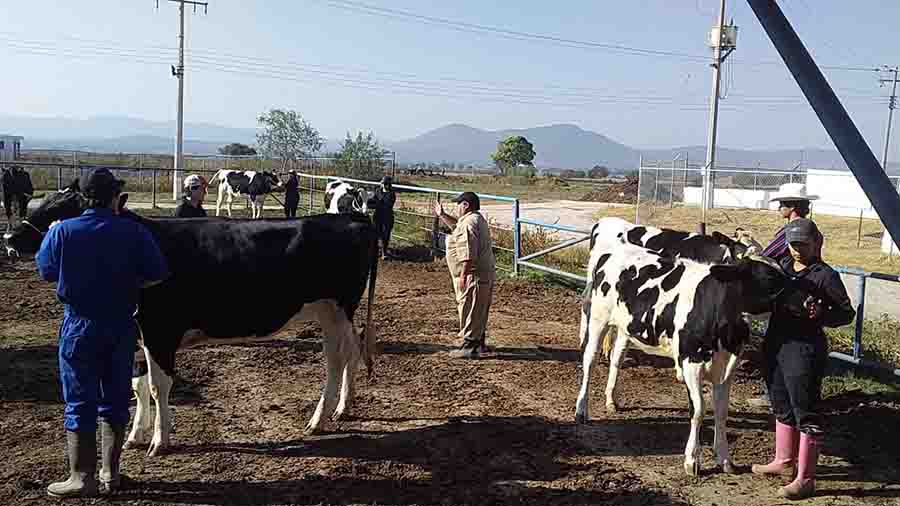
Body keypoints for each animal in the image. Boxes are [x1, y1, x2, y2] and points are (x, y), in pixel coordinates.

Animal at [3, 183, 378, 458]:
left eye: (59, 213)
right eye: (42, 203)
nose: (9, 239)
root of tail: (352, 219)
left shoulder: (160, 331)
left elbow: (158, 386)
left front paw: (160, 441)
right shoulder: (139, 332)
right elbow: (138, 385)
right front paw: (136, 435)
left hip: (339, 306)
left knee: (339, 358)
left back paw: (319, 419)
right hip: (329, 311)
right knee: (348, 351)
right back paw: (341, 408)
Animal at [576, 233, 780, 478]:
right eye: (769, 278)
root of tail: (614, 250)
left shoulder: (726, 368)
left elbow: (721, 412)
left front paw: (724, 459)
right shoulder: (691, 362)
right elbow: (699, 409)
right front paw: (692, 461)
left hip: (627, 326)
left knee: (617, 357)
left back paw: (611, 399)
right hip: (598, 319)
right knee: (590, 360)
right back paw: (581, 410)